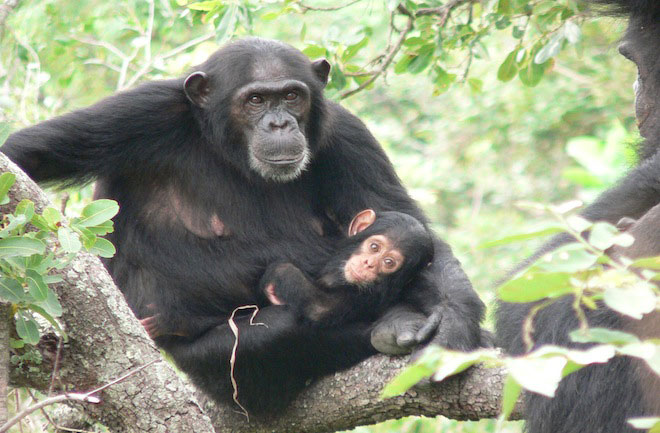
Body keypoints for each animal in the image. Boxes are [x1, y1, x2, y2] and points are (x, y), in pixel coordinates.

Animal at [0, 38, 484, 416]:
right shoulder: (140, 113)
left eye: (292, 96)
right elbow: (26, 157)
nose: (279, 122)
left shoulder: (349, 135)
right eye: (255, 100)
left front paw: (452, 333)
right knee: (278, 332)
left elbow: (407, 223)